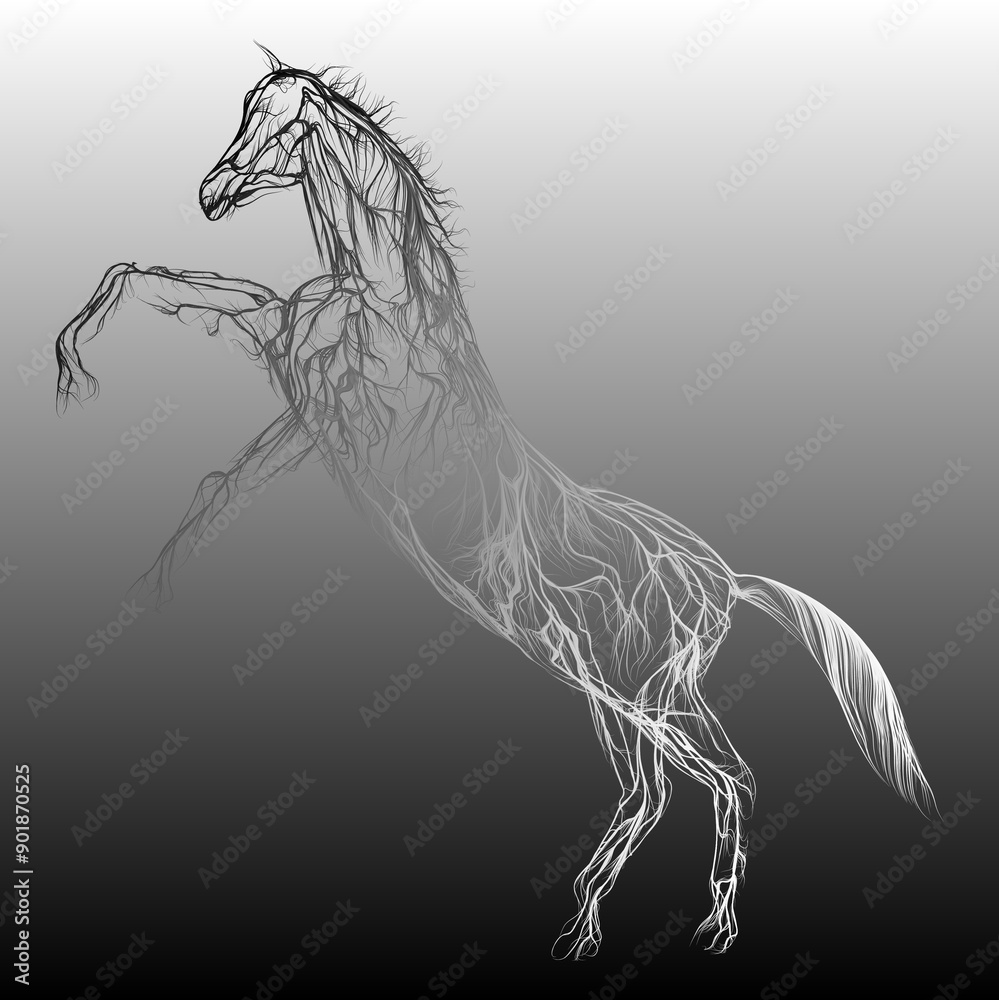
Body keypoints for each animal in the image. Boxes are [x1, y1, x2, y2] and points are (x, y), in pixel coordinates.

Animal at [54, 46, 937, 960]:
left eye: (283, 125)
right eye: (242, 113)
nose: (209, 193)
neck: (386, 301)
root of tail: (726, 583)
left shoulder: (334, 409)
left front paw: (74, 374)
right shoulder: (298, 387)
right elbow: (173, 348)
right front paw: (77, 382)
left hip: (633, 687)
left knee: (716, 778)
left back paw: (693, 927)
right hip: (612, 691)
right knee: (662, 789)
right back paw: (596, 927)